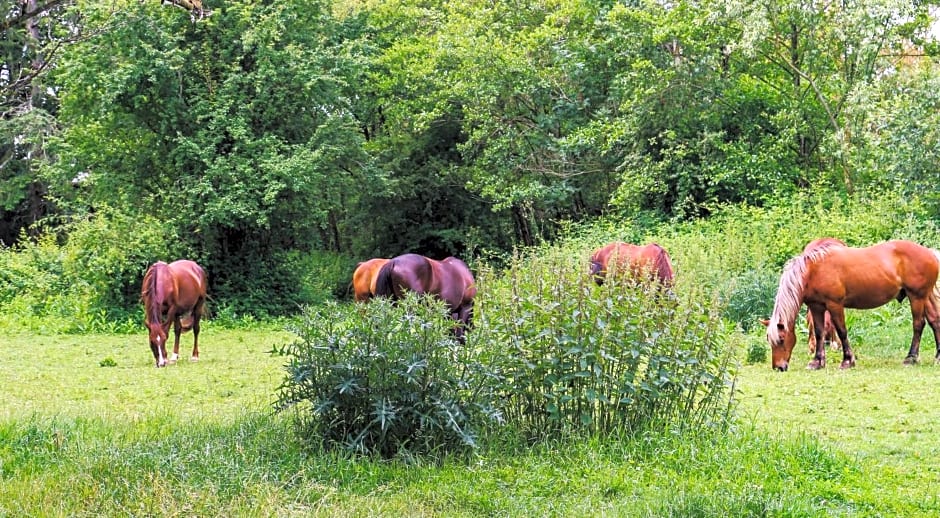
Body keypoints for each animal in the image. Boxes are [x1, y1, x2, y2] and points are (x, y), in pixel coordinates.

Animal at [764, 242, 940, 372]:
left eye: (781, 339)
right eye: (769, 340)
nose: (778, 367)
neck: (813, 271)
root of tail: (930, 253)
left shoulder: (835, 305)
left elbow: (842, 332)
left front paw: (847, 361)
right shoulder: (816, 307)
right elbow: (819, 333)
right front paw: (817, 362)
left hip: (916, 297)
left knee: (918, 325)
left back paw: (911, 358)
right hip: (926, 297)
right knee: (934, 322)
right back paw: (937, 357)